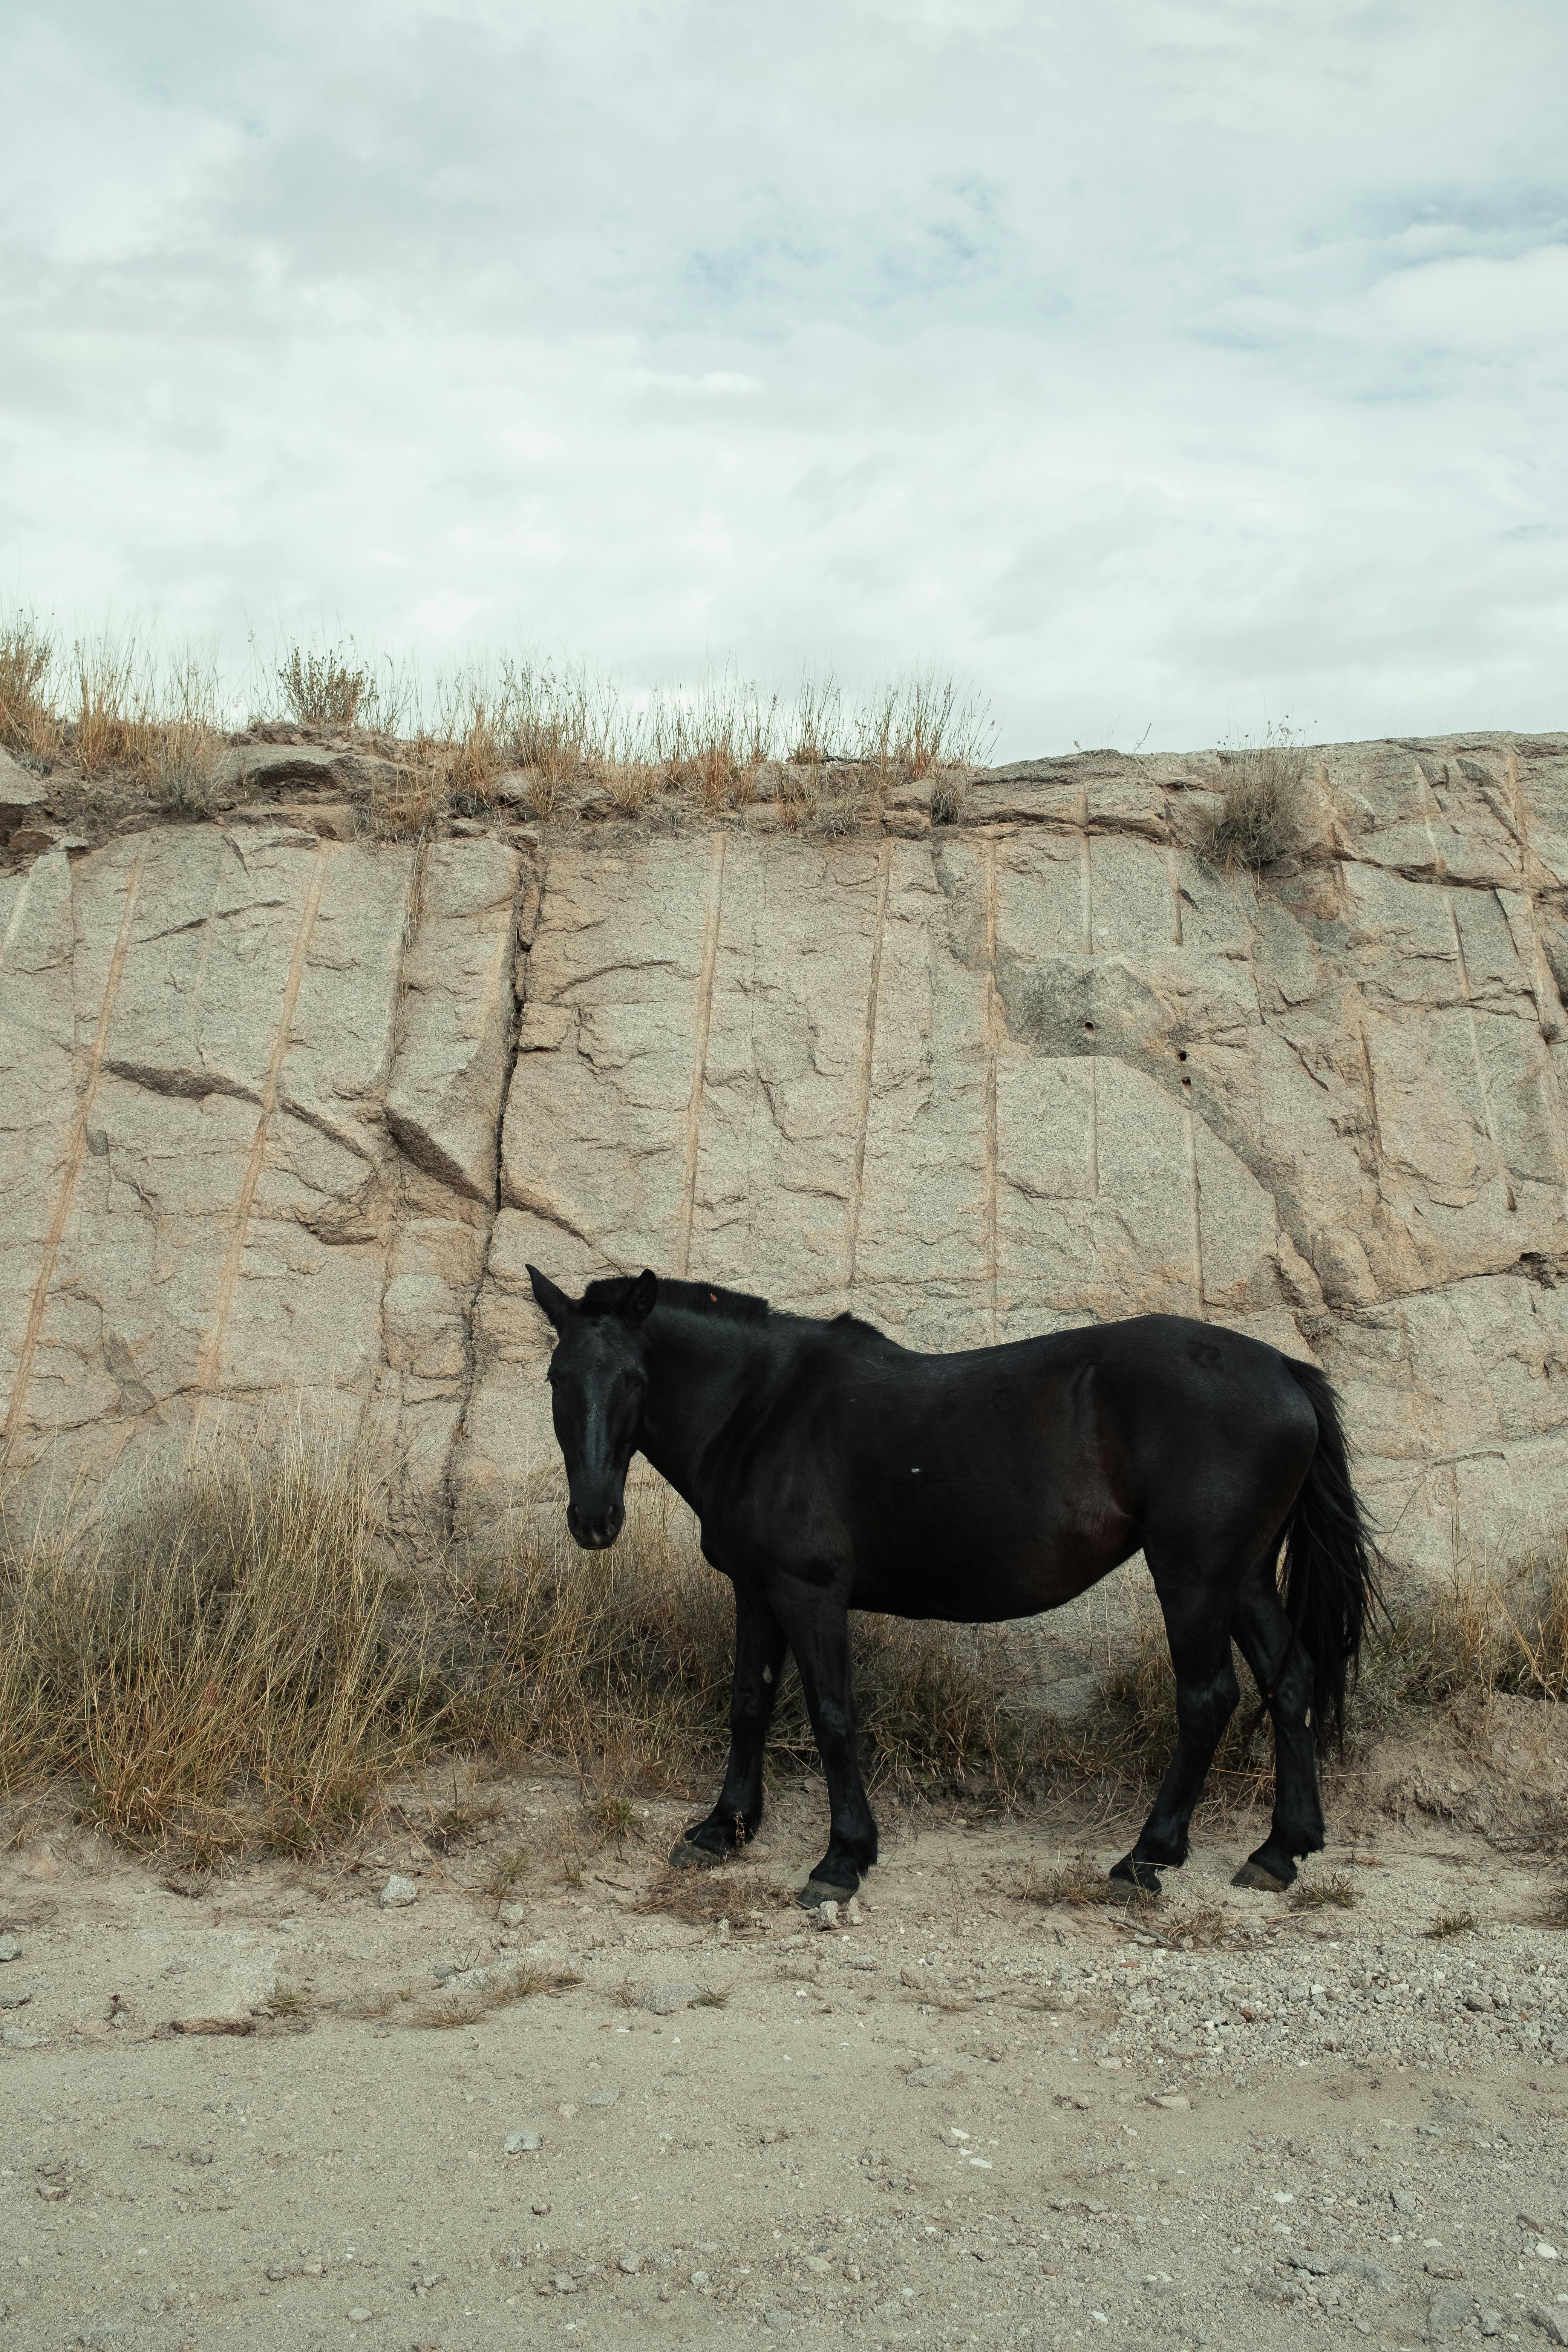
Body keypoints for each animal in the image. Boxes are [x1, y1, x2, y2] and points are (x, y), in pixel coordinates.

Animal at [525, 1264, 1379, 1907]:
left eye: (636, 1379)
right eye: (558, 1377)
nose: (594, 1520)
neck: (764, 1410)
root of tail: (1284, 1370)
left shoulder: (809, 1595)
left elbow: (832, 1716)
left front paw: (842, 1860)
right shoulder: (757, 1592)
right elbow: (748, 1705)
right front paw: (723, 1829)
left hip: (1194, 1578)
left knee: (1208, 1700)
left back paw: (1147, 1857)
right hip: (1244, 1578)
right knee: (1290, 1682)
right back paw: (1281, 1849)